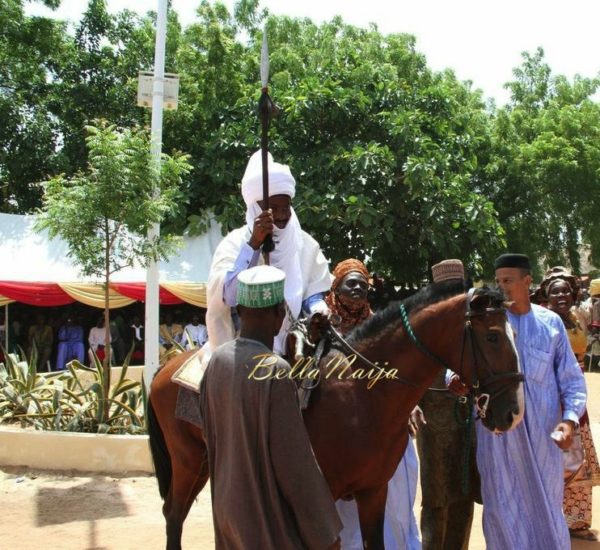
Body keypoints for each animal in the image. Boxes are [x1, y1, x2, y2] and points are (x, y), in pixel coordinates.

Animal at [148, 282, 524, 548]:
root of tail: (165, 368)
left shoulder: (373, 491)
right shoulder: (321, 492)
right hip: (187, 460)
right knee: (174, 514)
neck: (363, 394)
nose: (513, 413)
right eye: (493, 336)